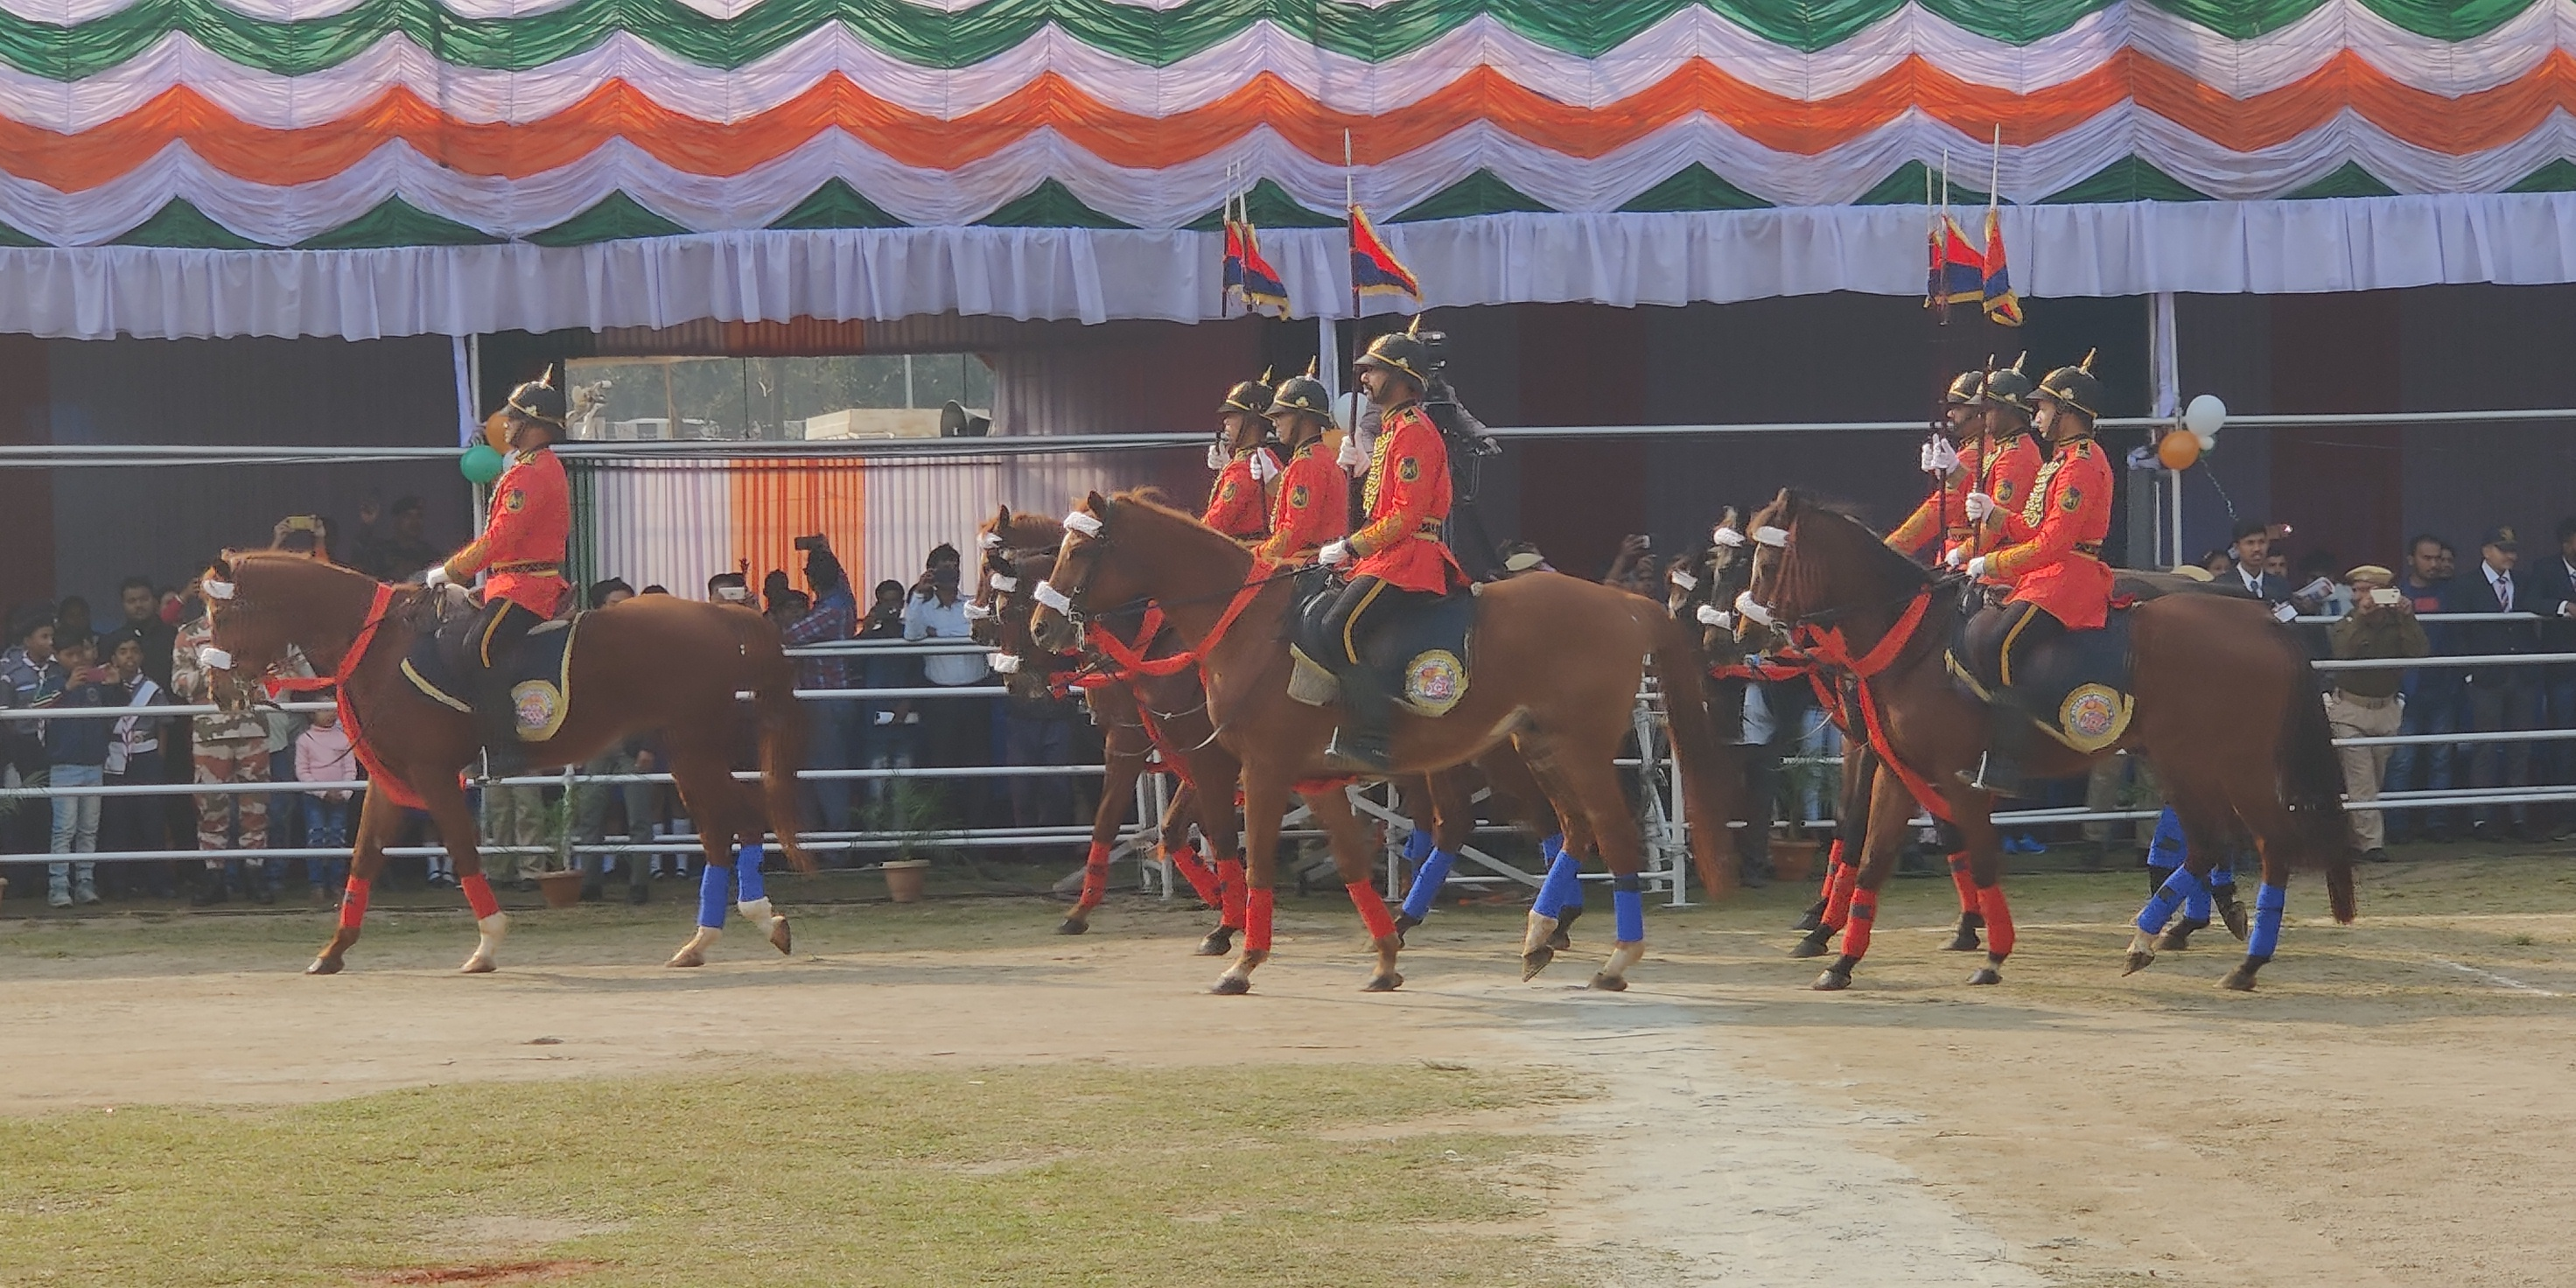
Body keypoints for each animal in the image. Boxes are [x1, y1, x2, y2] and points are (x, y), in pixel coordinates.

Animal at [194, 546, 808, 973]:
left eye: (219, 618)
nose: (218, 691)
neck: (379, 647)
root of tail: (717, 616)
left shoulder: (432, 775)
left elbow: (464, 850)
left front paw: (488, 942)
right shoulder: (392, 780)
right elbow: (364, 858)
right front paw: (333, 950)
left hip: (692, 749)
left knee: (735, 824)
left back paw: (743, 925)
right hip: (690, 754)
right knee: (727, 827)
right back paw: (716, 937)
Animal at [1025, 492, 1731, 994]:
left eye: (1078, 552)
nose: (1041, 627)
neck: (1247, 627)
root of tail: (1627, 606)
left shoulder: (1259, 770)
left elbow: (1252, 863)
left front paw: (1241, 961)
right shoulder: (1311, 779)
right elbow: (1352, 863)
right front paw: (1386, 958)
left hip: (1574, 751)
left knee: (1609, 834)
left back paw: (1614, 960)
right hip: (1539, 748)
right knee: (1570, 830)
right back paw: (1537, 936)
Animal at [1731, 486, 2359, 989]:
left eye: (1767, 557)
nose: (1742, 633)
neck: (1912, 640)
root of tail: (2264, 620)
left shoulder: (1955, 777)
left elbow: (1980, 857)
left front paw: (1991, 952)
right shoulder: (1896, 768)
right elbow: (1871, 859)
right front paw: (1841, 958)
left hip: (2232, 763)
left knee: (2268, 843)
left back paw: (2238, 958)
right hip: (2183, 762)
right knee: (2209, 842)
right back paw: (2164, 936)